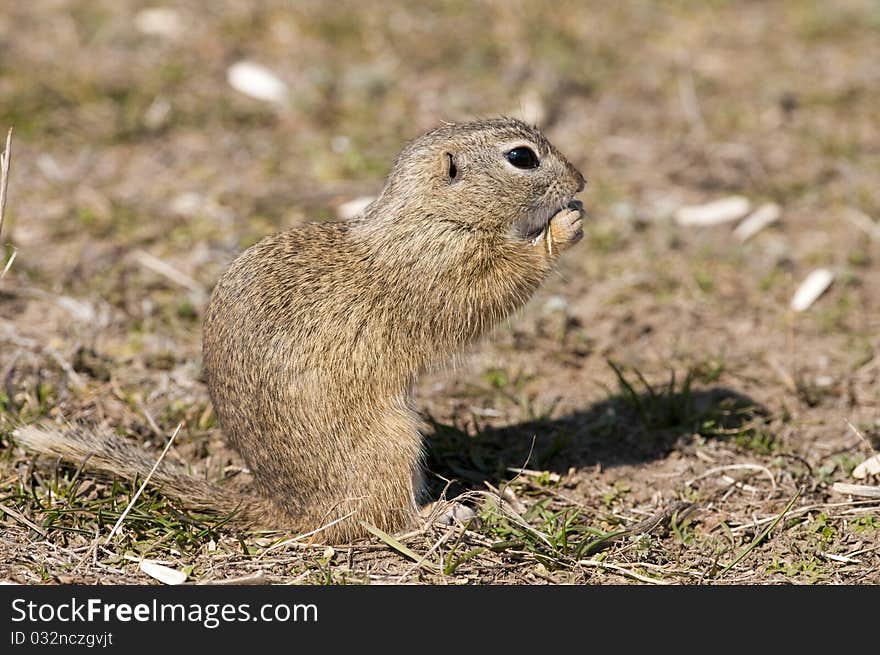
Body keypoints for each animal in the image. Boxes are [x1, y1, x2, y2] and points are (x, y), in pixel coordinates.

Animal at [13, 116, 588, 544]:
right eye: (521, 158)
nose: (581, 182)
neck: (431, 214)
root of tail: (289, 510)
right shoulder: (447, 268)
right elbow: (499, 284)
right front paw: (563, 227)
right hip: (391, 442)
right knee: (378, 521)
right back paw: (439, 516)